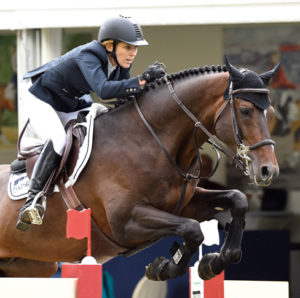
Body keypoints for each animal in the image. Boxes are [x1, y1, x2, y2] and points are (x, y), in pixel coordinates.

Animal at [0, 56, 278, 282]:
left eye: (271, 112)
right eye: (245, 111)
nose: (269, 171)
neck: (149, 140)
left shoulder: (184, 205)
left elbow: (237, 199)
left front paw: (213, 263)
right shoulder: (125, 221)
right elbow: (192, 230)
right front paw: (164, 268)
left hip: (31, 266)